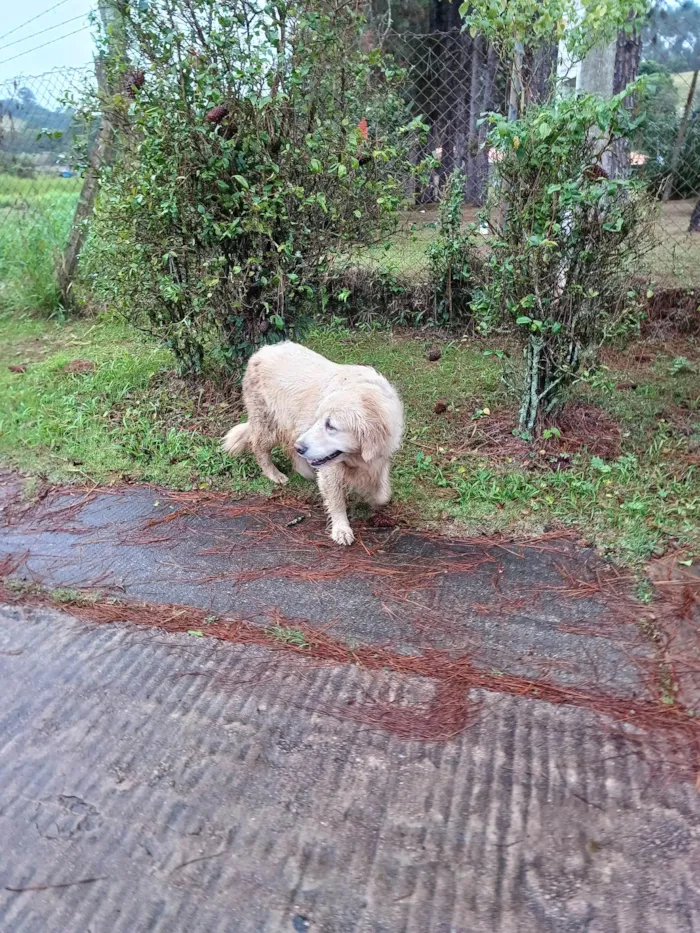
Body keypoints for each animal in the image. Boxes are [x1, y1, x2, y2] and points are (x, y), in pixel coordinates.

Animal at [221, 342, 402, 548]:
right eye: (320, 420)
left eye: (331, 426)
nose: (302, 448)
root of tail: (262, 351)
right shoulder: (330, 466)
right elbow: (336, 498)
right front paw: (341, 529)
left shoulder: (380, 457)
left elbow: (383, 493)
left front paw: (371, 498)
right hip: (270, 423)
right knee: (259, 446)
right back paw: (274, 474)